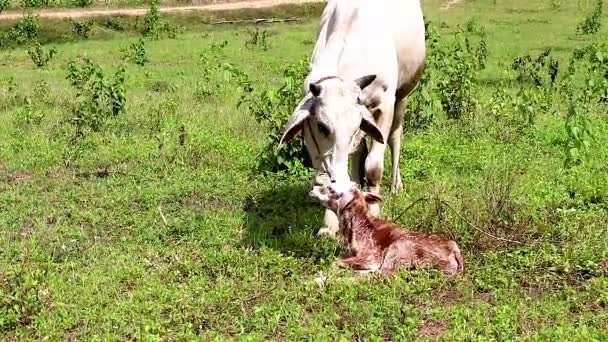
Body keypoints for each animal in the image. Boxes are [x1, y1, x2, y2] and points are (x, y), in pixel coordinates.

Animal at [280, 0, 426, 236]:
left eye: (354, 126)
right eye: (321, 126)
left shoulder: (384, 107)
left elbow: (374, 167)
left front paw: (374, 211)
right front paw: (329, 224)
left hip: (403, 95)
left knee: (395, 137)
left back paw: (396, 184)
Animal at [312, 176, 464, 276]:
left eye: (331, 189)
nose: (312, 189)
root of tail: (455, 250)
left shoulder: (371, 257)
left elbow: (336, 262)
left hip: (398, 249)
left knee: (381, 274)